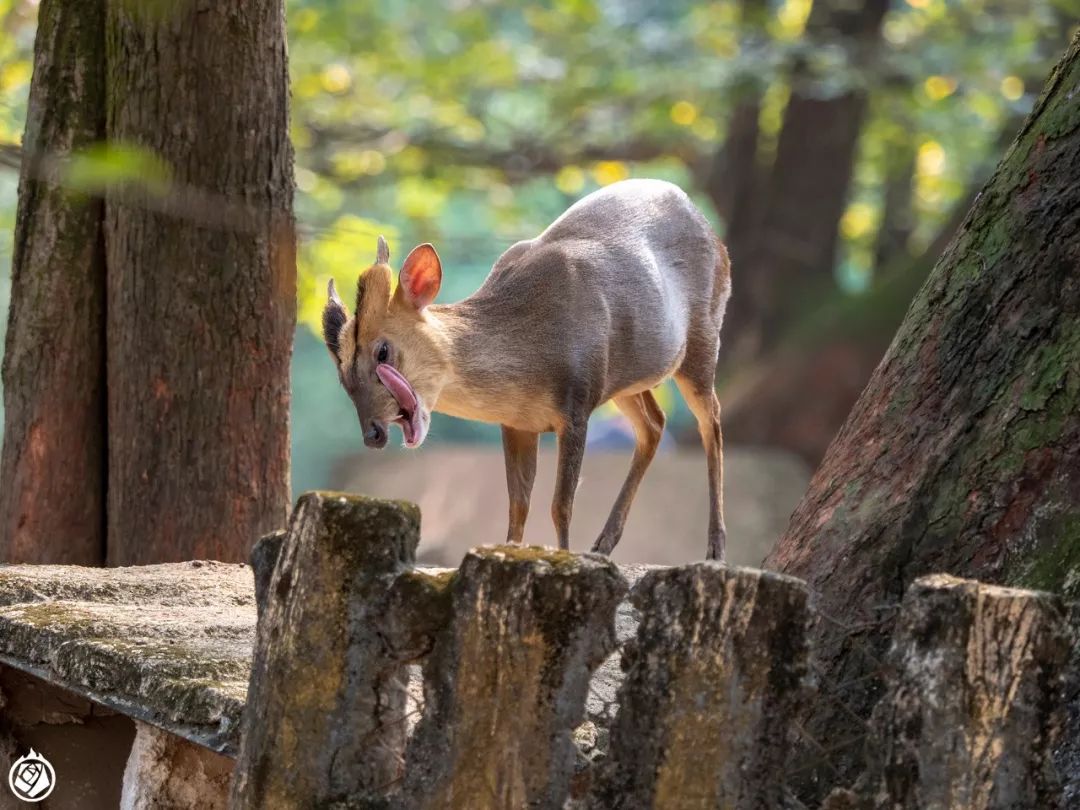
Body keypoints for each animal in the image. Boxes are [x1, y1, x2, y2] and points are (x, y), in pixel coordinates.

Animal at [324, 179, 730, 557]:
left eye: (383, 352)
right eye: (342, 375)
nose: (373, 434)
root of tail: (714, 235)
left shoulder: (577, 402)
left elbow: (560, 505)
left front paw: (564, 558)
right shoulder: (517, 421)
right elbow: (518, 505)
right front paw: (511, 551)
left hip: (703, 335)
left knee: (710, 420)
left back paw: (715, 547)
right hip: (627, 378)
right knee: (654, 423)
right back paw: (603, 544)